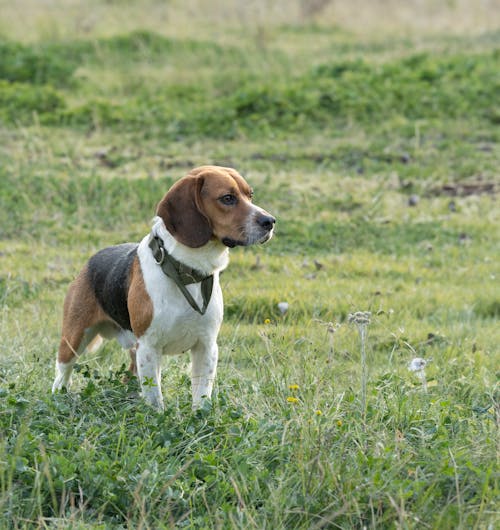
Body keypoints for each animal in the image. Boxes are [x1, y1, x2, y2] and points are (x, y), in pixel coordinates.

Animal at [52, 165, 276, 408]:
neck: (187, 273)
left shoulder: (206, 347)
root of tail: (91, 260)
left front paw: (201, 414)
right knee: (62, 373)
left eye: (250, 195)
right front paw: (157, 413)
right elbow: (155, 399)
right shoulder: (149, 347)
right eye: (227, 198)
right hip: (74, 339)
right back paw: (58, 398)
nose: (270, 221)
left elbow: (202, 396)